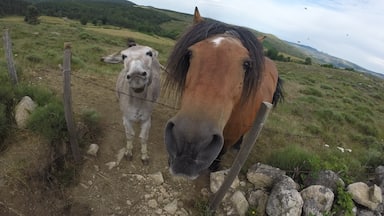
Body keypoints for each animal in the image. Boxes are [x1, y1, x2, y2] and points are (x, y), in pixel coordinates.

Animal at [164, 7, 284, 178]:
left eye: (247, 64)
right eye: (189, 54)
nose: (189, 144)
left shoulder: (229, 138)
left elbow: (222, 151)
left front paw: (215, 167)